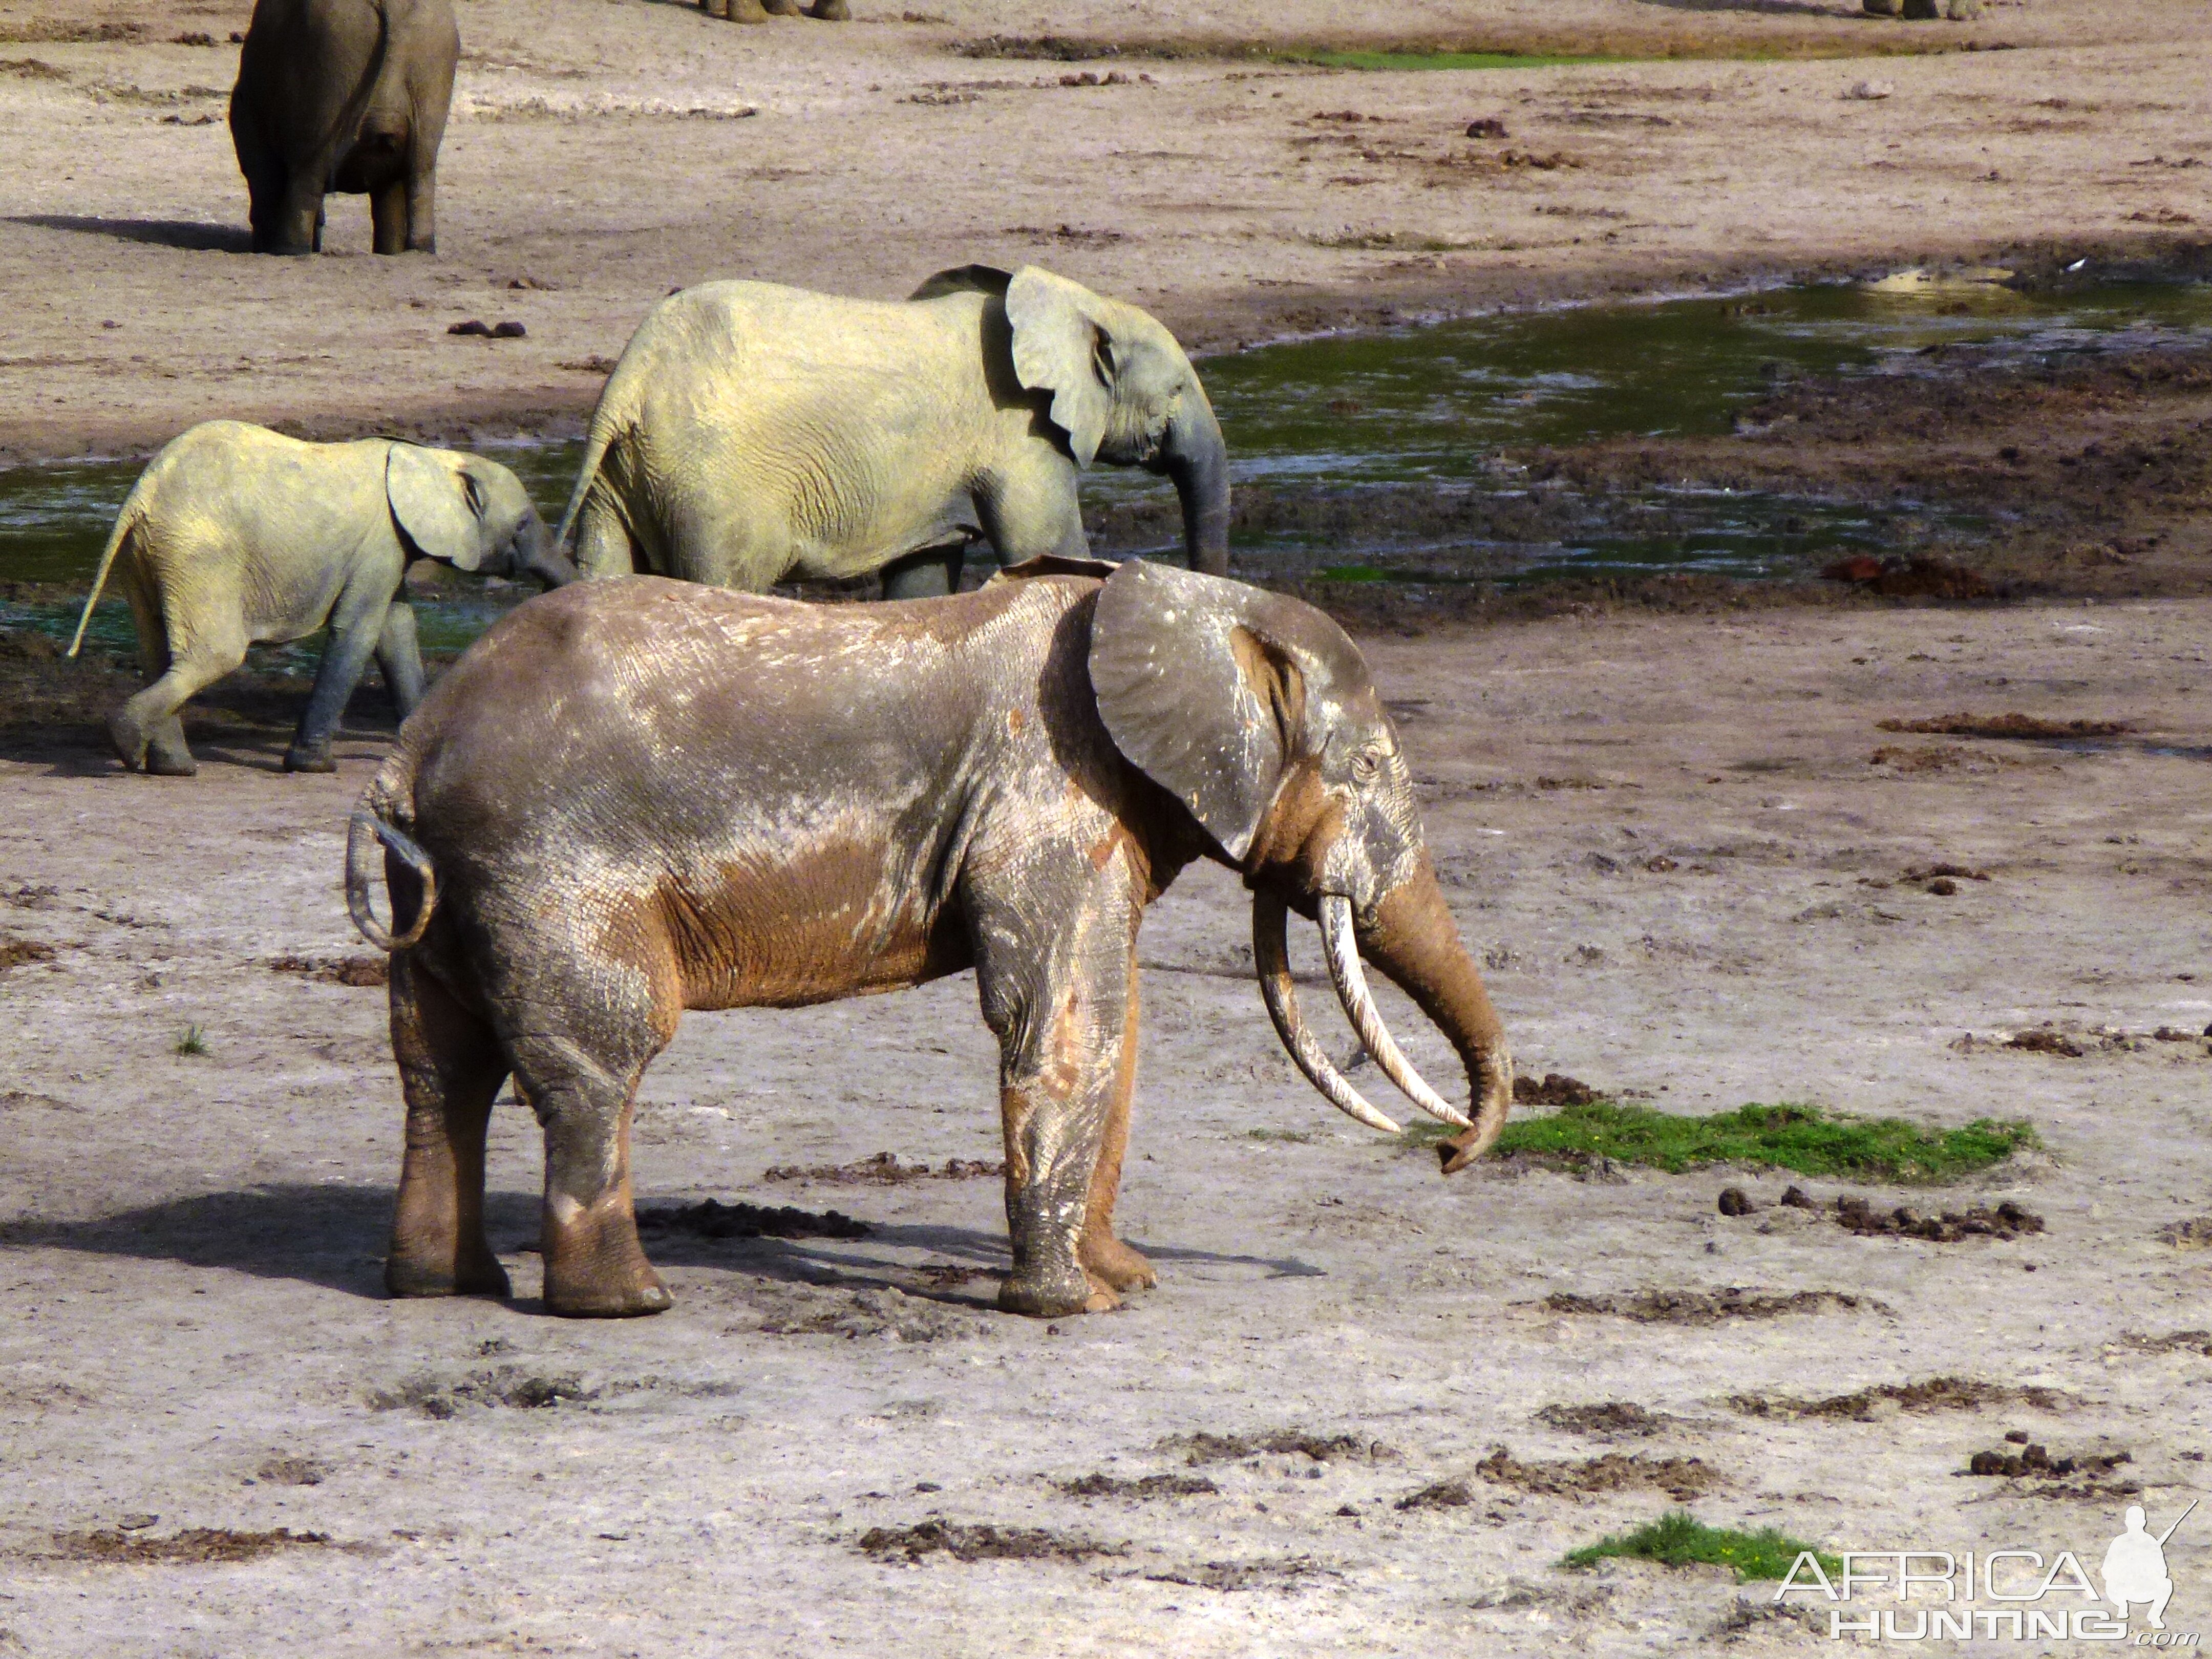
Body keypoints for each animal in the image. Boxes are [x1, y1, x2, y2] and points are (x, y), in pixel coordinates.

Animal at [73, 418, 579, 778]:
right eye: (523, 526)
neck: (433, 459)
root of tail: (140, 496)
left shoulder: (390, 548)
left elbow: (397, 631)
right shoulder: (381, 541)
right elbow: (359, 631)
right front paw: (313, 766)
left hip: (149, 554)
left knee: (159, 652)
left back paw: (172, 767)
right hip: (197, 555)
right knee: (215, 656)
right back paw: (128, 743)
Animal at [349, 559, 1522, 1327]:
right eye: (1368, 766)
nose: (1449, 1155)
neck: (1172, 599)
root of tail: (411, 747)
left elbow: (1118, 1021)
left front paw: (1126, 1282)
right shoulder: (1046, 789)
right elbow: (1062, 1021)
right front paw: (1070, 1311)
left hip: (458, 877)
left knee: (438, 1064)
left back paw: (445, 1288)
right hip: (550, 863)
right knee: (599, 1057)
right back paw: (626, 1304)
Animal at [553, 270, 1239, 606]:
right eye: (1178, 389)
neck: (1078, 303)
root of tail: (628, 378)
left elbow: (921, 581)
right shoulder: (1018, 436)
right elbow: (1050, 549)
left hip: (626, 471)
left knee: (603, 570)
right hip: (708, 483)